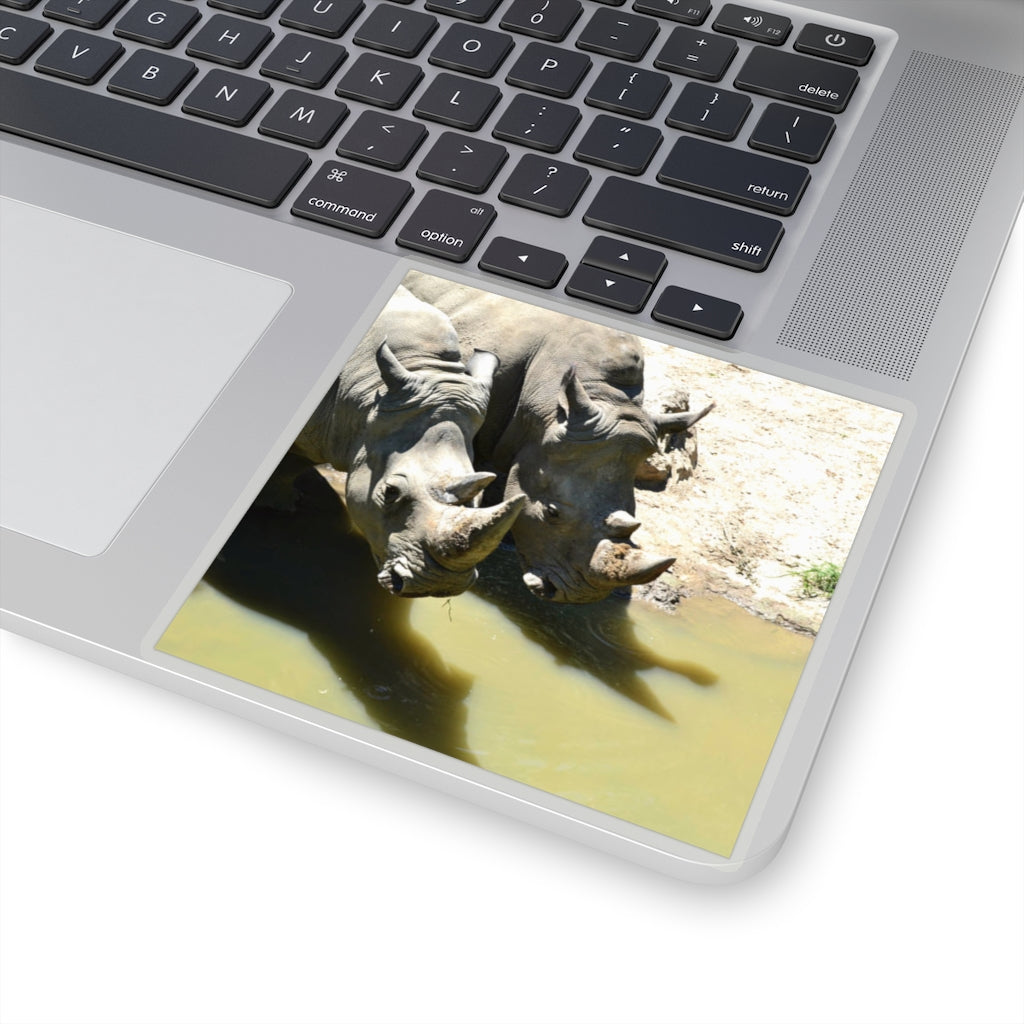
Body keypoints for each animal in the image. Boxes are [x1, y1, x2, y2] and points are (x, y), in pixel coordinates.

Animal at [284, 285, 524, 597]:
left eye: (479, 498)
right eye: (390, 492)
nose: (440, 584)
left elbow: (295, 463)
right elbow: (289, 464)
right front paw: (280, 507)